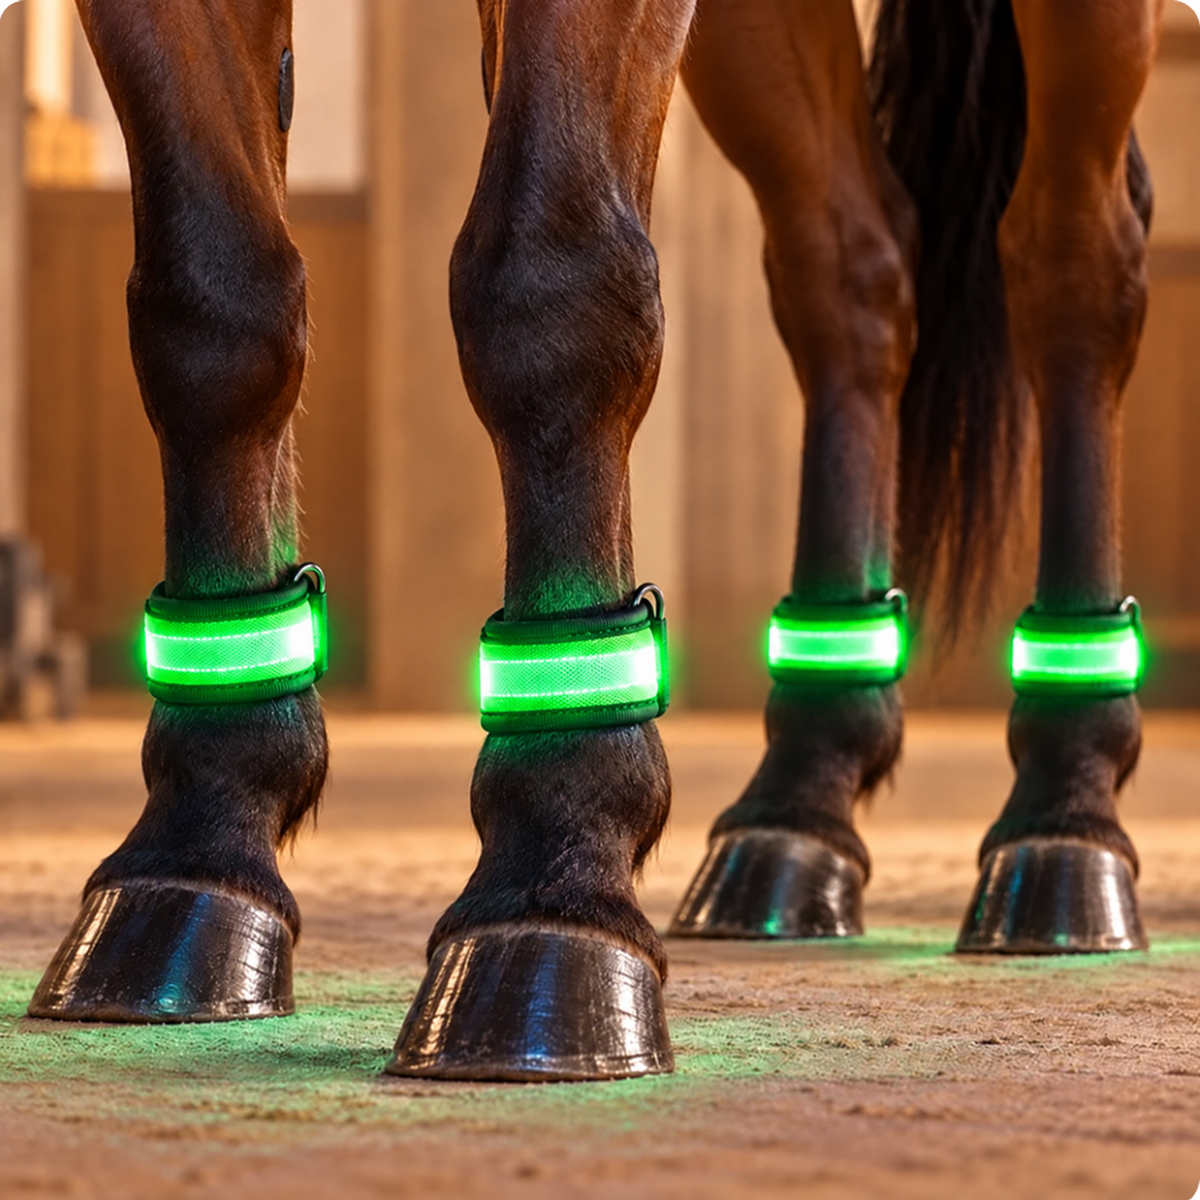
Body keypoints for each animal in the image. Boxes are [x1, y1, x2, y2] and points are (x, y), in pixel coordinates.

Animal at [29, 0, 1161, 1083]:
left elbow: (548, 285)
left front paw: (555, 869)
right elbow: (209, 304)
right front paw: (199, 839)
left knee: (1071, 257)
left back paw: (1064, 812)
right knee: (849, 267)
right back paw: (800, 800)